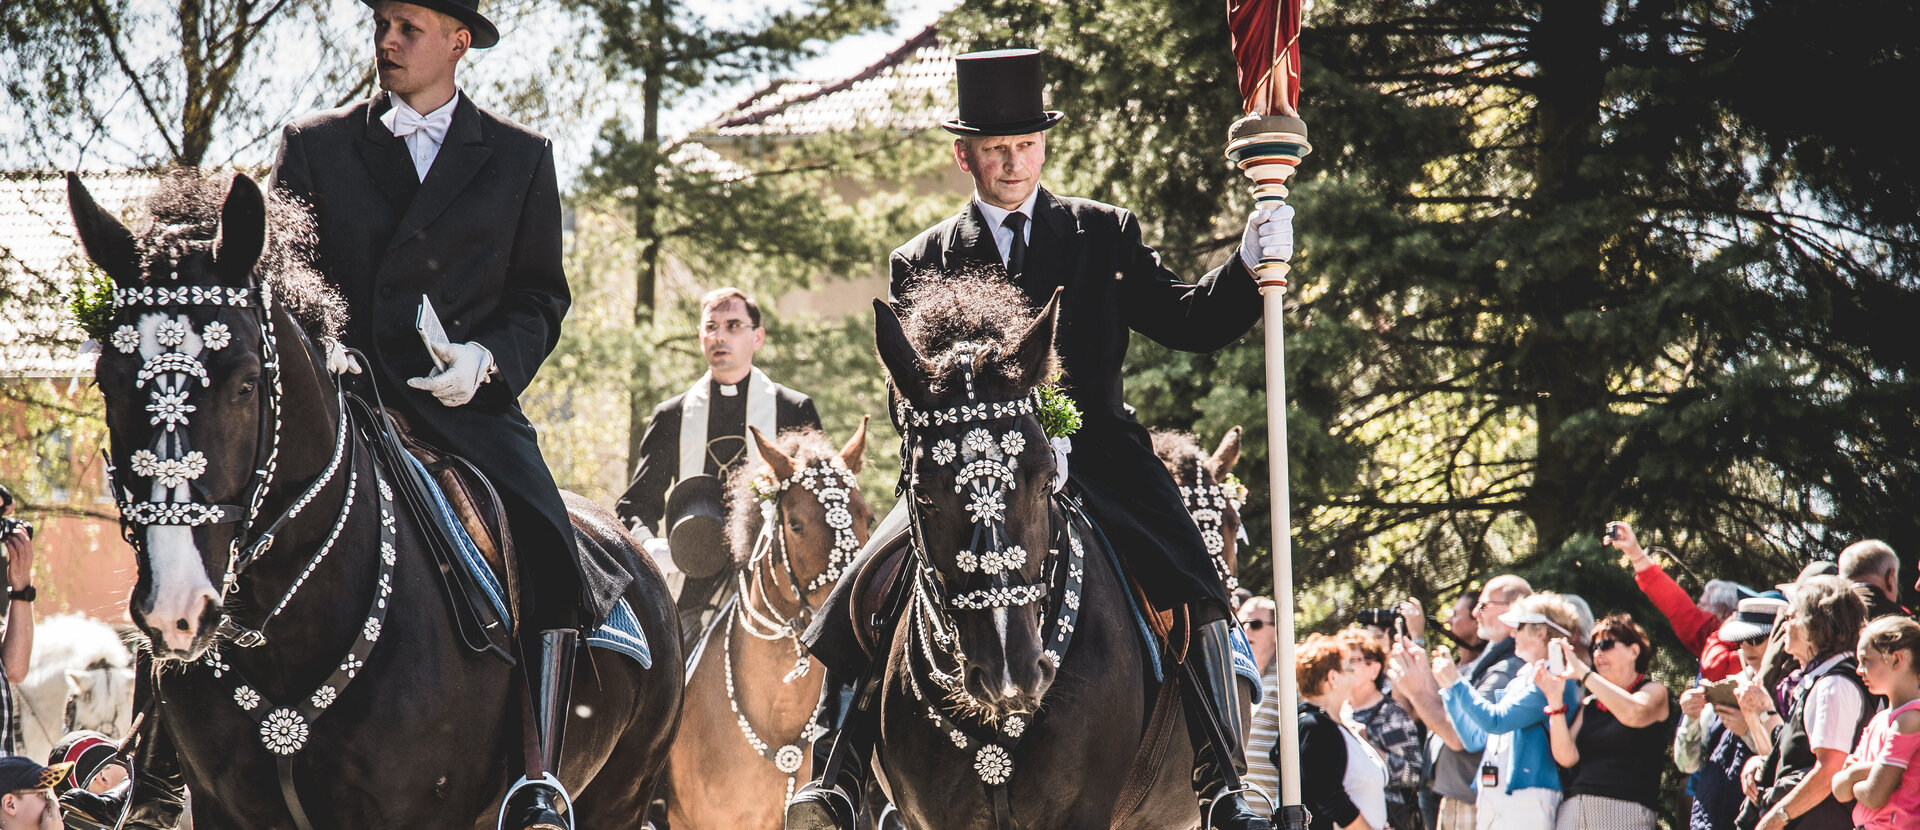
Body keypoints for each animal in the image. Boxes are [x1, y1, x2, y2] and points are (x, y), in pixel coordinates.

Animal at [72, 171, 683, 826]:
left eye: (246, 384)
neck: (286, 630)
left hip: (620, 797)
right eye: (107, 382)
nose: (176, 603)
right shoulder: (221, 807)